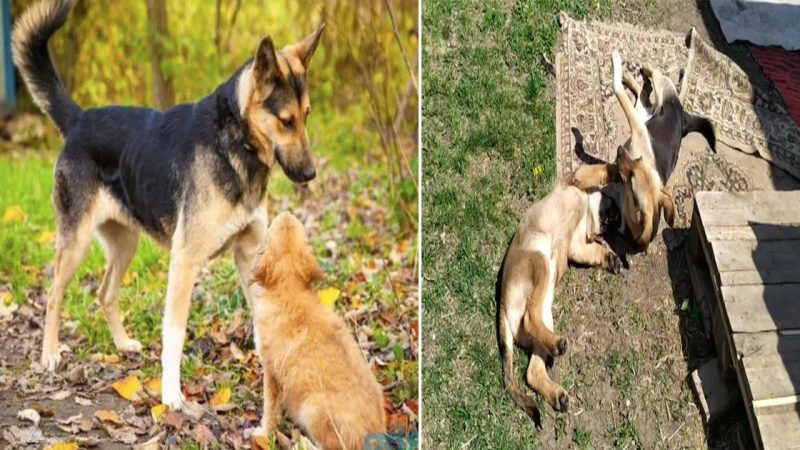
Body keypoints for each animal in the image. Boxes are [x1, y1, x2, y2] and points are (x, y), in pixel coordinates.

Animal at [11, 0, 322, 408]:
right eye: (285, 121)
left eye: (306, 116)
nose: (311, 173)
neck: (236, 142)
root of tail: (80, 119)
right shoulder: (185, 261)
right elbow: (174, 333)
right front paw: (172, 393)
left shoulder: (250, 253)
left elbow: (261, 312)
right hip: (75, 243)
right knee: (53, 295)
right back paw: (49, 353)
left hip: (126, 243)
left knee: (104, 292)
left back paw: (122, 343)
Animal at [250, 213, 388, 448]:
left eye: (271, 229)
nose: (286, 213)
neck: (290, 288)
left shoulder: (271, 373)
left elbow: (269, 410)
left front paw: (262, 433)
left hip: (313, 408)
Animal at [496, 163, 620, 424]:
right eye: (611, 209)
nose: (613, 222)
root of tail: (502, 306)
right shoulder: (576, 179)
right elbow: (598, 170)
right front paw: (620, 166)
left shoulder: (577, 246)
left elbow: (593, 250)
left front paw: (610, 257)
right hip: (541, 263)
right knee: (529, 317)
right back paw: (558, 346)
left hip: (546, 317)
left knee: (532, 371)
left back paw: (556, 392)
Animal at [608, 49, 716, 250]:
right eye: (639, 160)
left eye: (631, 180)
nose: (618, 151)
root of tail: (684, 120)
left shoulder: (638, 129)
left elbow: (617, 89)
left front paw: (616, 63)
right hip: (646, 111)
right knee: (645, 93)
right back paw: (635, 76)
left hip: (659, 95)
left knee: (656, 77)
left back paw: (639, 70)